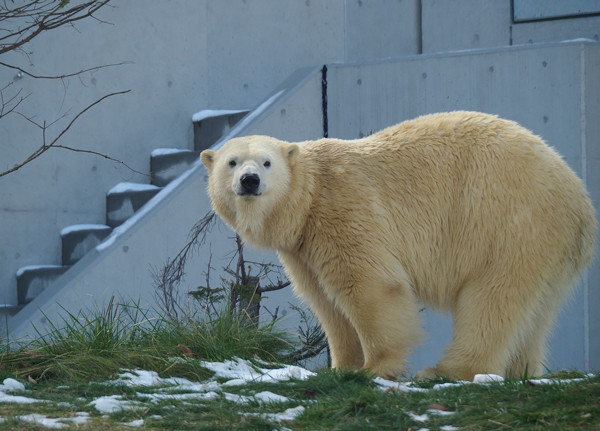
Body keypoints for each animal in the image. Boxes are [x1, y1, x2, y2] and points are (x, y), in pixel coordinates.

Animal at [200, 112, 596, 382]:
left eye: (266, 162)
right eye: (231, 162)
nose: (250, 180)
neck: (309, 198)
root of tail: (580, 200)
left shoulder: (343, 209)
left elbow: (369, 286)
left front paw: (376, 367)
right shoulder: (301, 247)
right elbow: (325, 302)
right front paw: (340, 367)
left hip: (507, 221)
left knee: (492, 298)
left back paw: (448, 370)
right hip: (548, 247)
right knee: (534, 312)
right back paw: (521, 371)